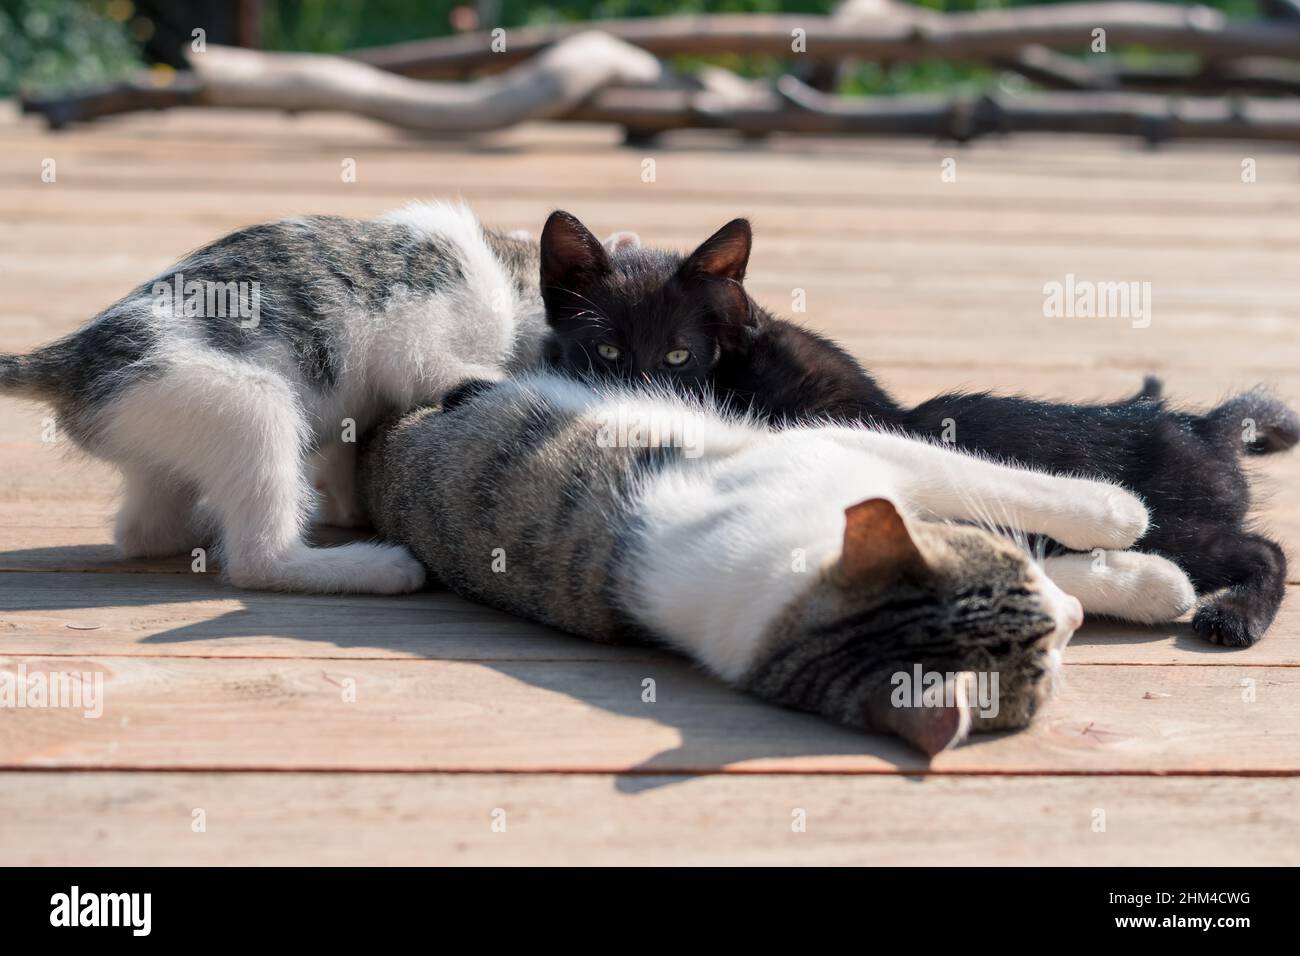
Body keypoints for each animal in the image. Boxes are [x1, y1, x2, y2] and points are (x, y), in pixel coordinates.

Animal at [358, 374, 1196, 754]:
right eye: (1046, 663)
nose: (1075, 620)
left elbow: (997, 512)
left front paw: (1141, 580)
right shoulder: (848, 451)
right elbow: (992, 486)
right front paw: (1122, 519)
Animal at [540, 210, 1300, 650]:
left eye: (679, 358)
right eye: (604, 351)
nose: (643, 393)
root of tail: (1205, 426)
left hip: (1189, 525)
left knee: (1264, 550)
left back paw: (1236, 616)